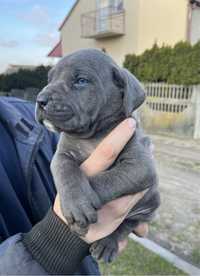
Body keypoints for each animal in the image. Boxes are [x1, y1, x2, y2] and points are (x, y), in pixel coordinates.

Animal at [35, 48, 159, 262]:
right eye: (49, 79)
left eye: (81, 80)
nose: (40, 100)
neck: (93, 136)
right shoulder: (62, 154)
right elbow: (65, 170)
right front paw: (74, 202)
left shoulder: (140, 166)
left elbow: (108, 179)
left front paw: (78, 207)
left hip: (149, 206)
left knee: (127, 224)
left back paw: (107, 243)